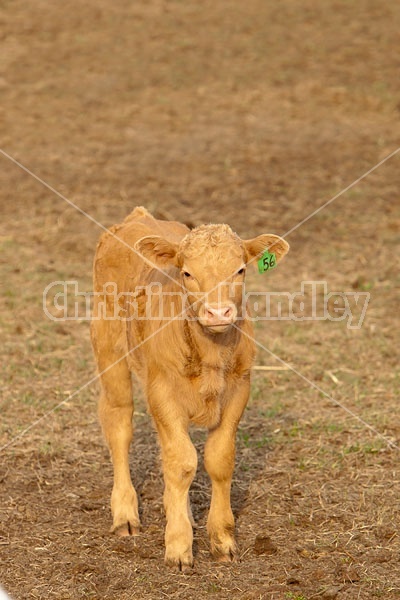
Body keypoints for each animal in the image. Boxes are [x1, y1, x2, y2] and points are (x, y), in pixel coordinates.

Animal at [90, 209, 290, 568]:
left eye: (240, 270)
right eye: (187, 273)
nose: (218, 312)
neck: (210, 355)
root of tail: (136, 217)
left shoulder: (239, 389)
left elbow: (218, 460)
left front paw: (222, 540)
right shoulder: (162, 390)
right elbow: (182, 463)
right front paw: (179, 546)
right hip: (108, 345)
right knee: (119, 422)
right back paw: (125, 514)